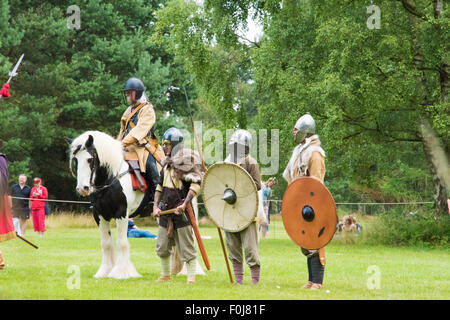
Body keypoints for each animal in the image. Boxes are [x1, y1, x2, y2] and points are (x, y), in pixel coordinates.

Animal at [69, 131, 146, 278]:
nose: (82, 188)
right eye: (76, 160)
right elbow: (106, 243)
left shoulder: (122, 213)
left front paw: (120, 272)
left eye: (90, 159)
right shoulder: (99, 214)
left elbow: (121, 242)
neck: (111, 179)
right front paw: (104, 271)